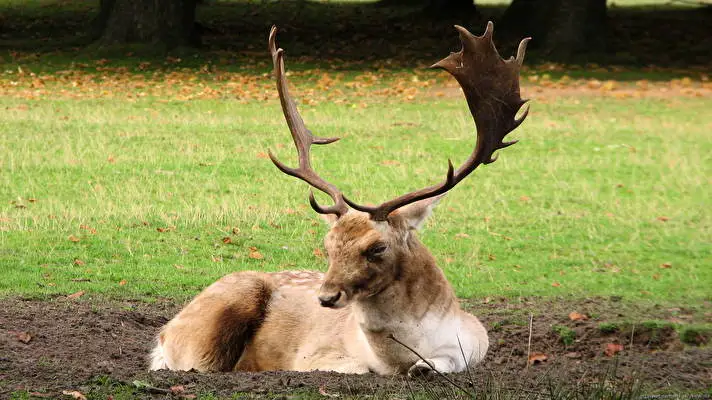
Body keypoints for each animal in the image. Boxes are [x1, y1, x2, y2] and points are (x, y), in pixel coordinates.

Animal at [149, 22, 530, 377]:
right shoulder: (314, 355)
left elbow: (439, 364)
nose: (326, 296)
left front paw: (425, 367)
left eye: (377, 247)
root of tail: (163, 335)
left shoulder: (476, 342)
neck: (400, 357)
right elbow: (356, 367)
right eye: (327, 245)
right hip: (212, 324)